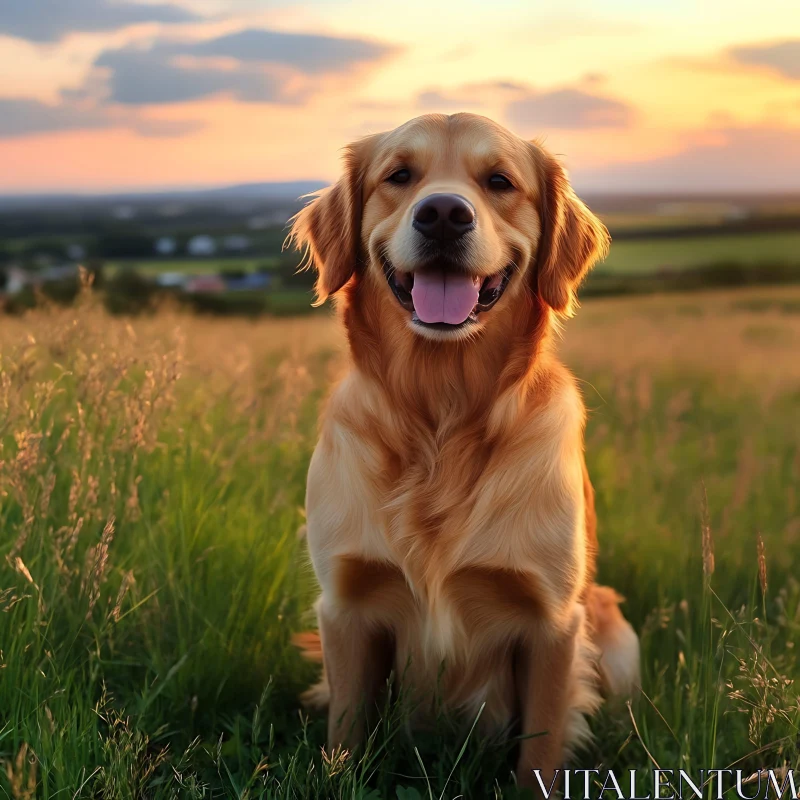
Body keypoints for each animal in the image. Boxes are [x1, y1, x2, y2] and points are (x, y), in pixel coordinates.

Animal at [290, 114, 640, 792]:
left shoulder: (552, 621)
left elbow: (541, 748)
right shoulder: (345, 606)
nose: (445, 214)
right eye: (399, 175)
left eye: (499, 182)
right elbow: (346, 732)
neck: (442, 418)